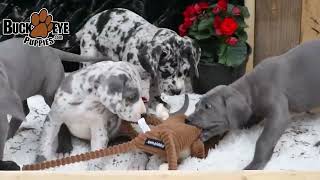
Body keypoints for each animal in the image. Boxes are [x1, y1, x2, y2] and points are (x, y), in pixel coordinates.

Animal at [186, 40, 320, 169]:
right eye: (196, 105)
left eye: (208, 107)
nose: (188, 120)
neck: (252, 88)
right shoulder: (252, 113)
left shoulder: (279, 116)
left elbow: (263, 140)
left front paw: (255, 165)